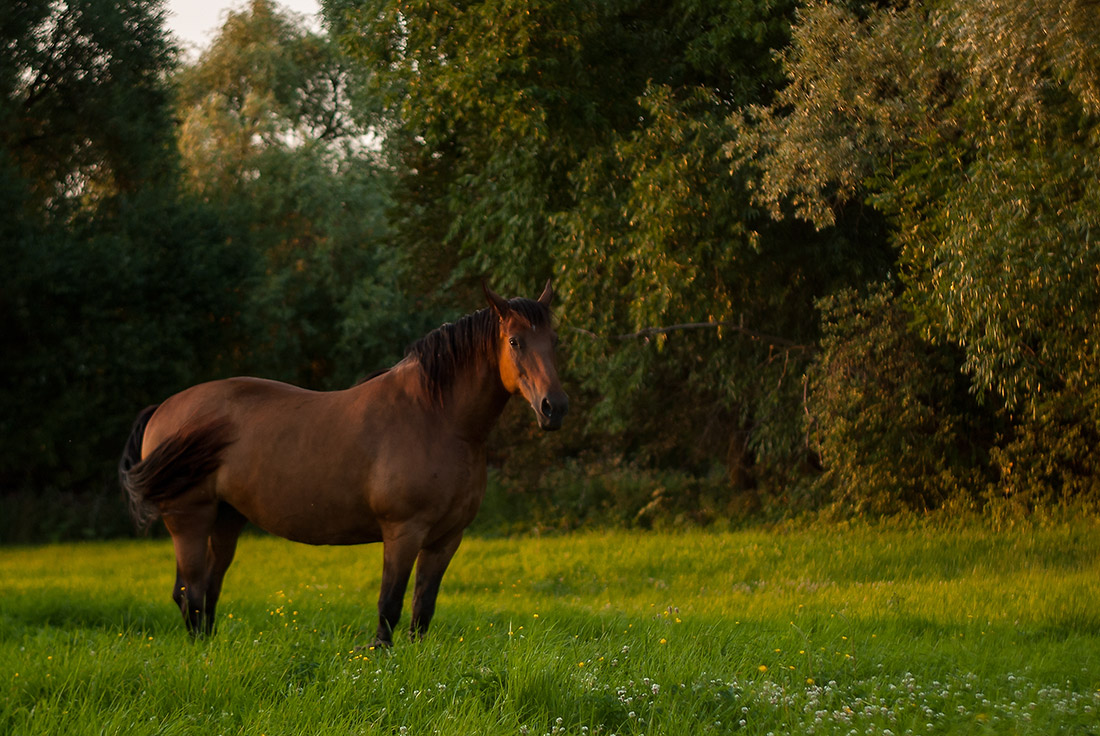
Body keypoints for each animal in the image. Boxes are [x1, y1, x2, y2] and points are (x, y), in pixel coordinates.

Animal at [119, 281, 568, 645]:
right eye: (515, 341)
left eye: (554, 340)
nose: (554, 407)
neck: (437, 418)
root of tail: (164, 409)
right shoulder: (403, 532)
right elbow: (390, 605)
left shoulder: (446, 539)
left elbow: (423, 610)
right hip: (189, 519)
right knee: (191, 594)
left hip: (227, 518)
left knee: (207, 592)